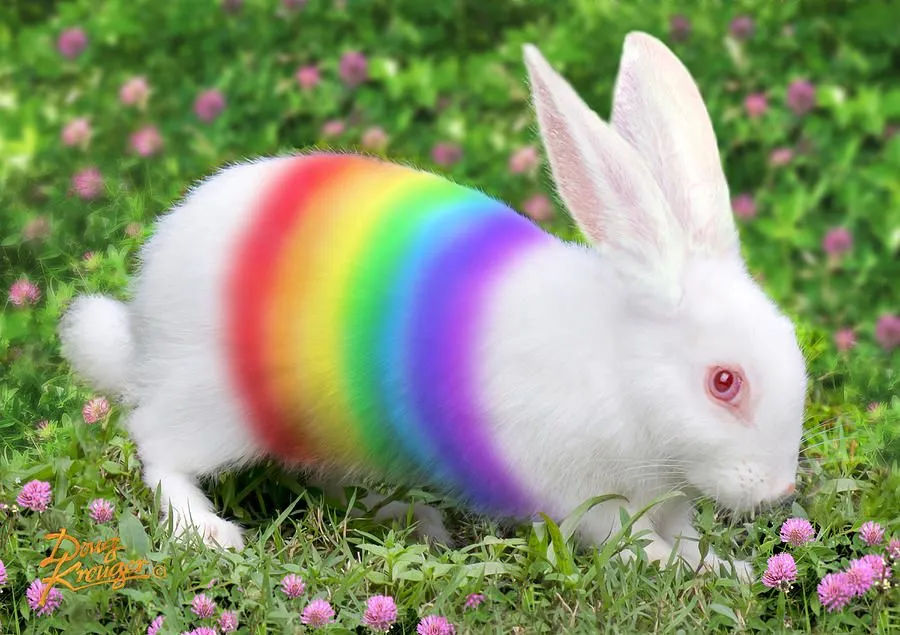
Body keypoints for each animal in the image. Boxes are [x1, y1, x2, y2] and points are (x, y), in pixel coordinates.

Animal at [58, 32, 807, 581]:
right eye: (724, 383)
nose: (776, 493)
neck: (622, 371)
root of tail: (143, 329)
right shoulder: (579, 492)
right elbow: (629, 542)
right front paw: (688, 566)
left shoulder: (671, 496)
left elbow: (683, 537)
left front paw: (731, 569)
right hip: (216, 407)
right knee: (157, 444)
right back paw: (209, 532)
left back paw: (416, 522)